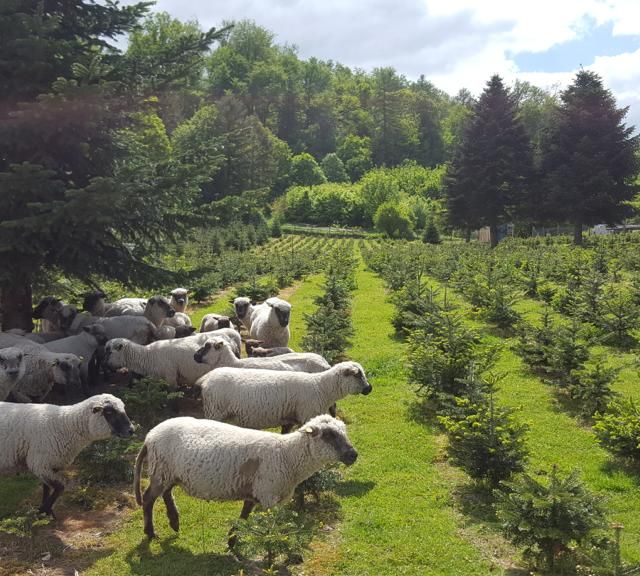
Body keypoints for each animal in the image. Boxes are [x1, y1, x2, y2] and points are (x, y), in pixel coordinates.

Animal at [0, 396, 132, 512]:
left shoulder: (51, 465)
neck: (65, 424)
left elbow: (46, 488)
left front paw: (47, 511)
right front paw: (43, 510)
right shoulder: (39, 463)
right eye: (109, 412)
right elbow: (60, 487)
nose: (131, 430)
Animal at [132, 412, 358, 544]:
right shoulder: (268, 495)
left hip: (168, 471)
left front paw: (232, 540)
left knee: (166, 493)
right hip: (161, 469)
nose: (353, 455)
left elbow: (244, 517)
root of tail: (150, 435)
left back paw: (174, 521)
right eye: (328, 435)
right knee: (149, 498)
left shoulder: (256, 493)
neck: (287, 455)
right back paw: (151, 532)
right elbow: (273, 527)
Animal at [198, 360, 372, 432]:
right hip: (215, 411)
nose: (369, 388)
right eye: (357, 375)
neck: (322, 387)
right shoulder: (306, 415)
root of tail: (205, 378)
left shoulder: (289, 420)